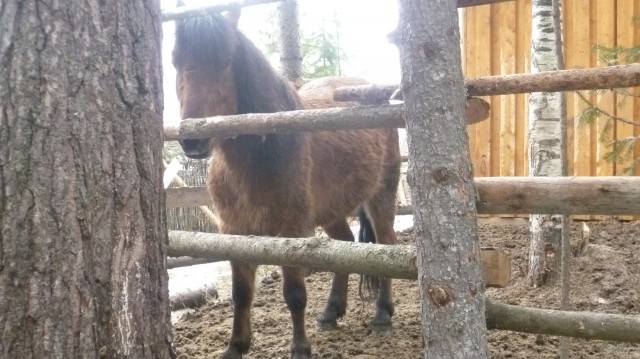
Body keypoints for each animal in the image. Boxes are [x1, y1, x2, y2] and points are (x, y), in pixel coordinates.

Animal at [172, 9, 398, 359]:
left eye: (226, 59)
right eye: (174, 61)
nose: (193, 140)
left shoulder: (291, 230)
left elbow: (294, 293)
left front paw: (300, 349)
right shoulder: (234, 231)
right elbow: (241, 293)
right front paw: (236, 346)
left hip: (382, 197)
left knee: (387, 246)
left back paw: (383, 317)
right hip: (331, 212)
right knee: (344, 246)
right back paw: (330, 313)